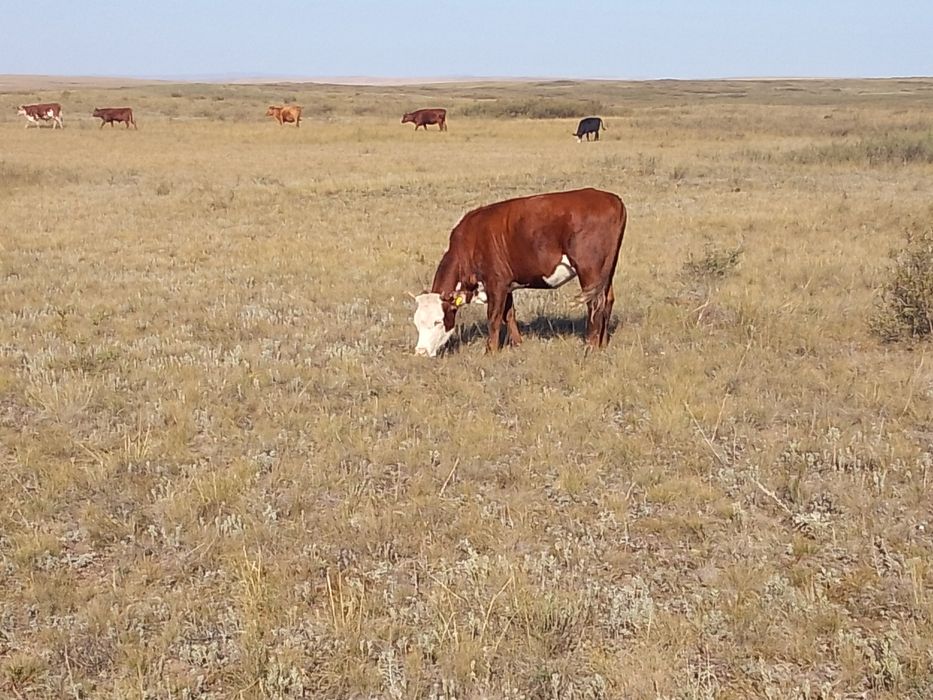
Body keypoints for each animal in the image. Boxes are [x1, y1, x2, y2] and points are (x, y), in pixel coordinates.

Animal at [413, 188, 627, 357]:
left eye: (438, 321)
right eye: (416, 323)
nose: (420, 352)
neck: (470, 241)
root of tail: (611, 198)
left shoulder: (495, 283)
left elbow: (494, 317)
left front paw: (490, 350)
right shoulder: (506, 284)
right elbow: (509, 314)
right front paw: (517, 343)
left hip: (589, 270)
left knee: (595, 304)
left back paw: (590, 346)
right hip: (606, 271)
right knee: (607, 300)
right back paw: (602, 343)